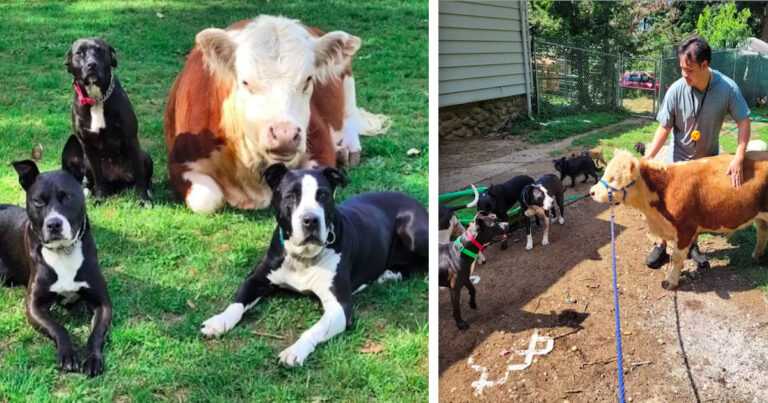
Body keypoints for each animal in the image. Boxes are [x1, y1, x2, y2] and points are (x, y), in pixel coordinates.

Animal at [0, 159, 112, 378]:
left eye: (67, 196)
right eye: (38, 202)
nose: (54, 224)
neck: (63, 251)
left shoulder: (103, 303)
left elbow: (96, 334)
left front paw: (92, 358)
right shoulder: (33, 306)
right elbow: (59, 328)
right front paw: (68, 354)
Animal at [65, 37, 153, 205]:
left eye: (100, 50)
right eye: (79, 53)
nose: (91, 64)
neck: (96, 99)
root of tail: (117, 180)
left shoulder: (131, 139)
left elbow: (139, 174)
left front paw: (143, 199)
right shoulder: (87, 145)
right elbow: (98, 177)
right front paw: (100, 197)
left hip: (145, 156)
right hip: (85, 162)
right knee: (90, 180)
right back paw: (87, 192)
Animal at [164, 15, 388, 215]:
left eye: (308, 80)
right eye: (245, 82)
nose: (284, 134)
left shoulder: (320, 147)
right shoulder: (180, 162)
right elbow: (206, 199)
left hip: (346, 74)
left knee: (349, 113)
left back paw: (348, 148)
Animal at [201, 165, 428, 370]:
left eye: (323, 195)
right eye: (291, 196)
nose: (310, 219)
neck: (303, 256)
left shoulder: (340, 307)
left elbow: (314, 330)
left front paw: (295, 350)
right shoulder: (257, 279)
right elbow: (237, 302)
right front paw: (218, 322)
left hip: (412, 231)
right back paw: (388, 274)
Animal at [592, 149, 768, 290]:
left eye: (614, 178)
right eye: (606, 172)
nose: (592, 192)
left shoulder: (685, 228)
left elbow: (677, 257)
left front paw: (670, 281)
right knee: (762, 232)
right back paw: (756, 256)